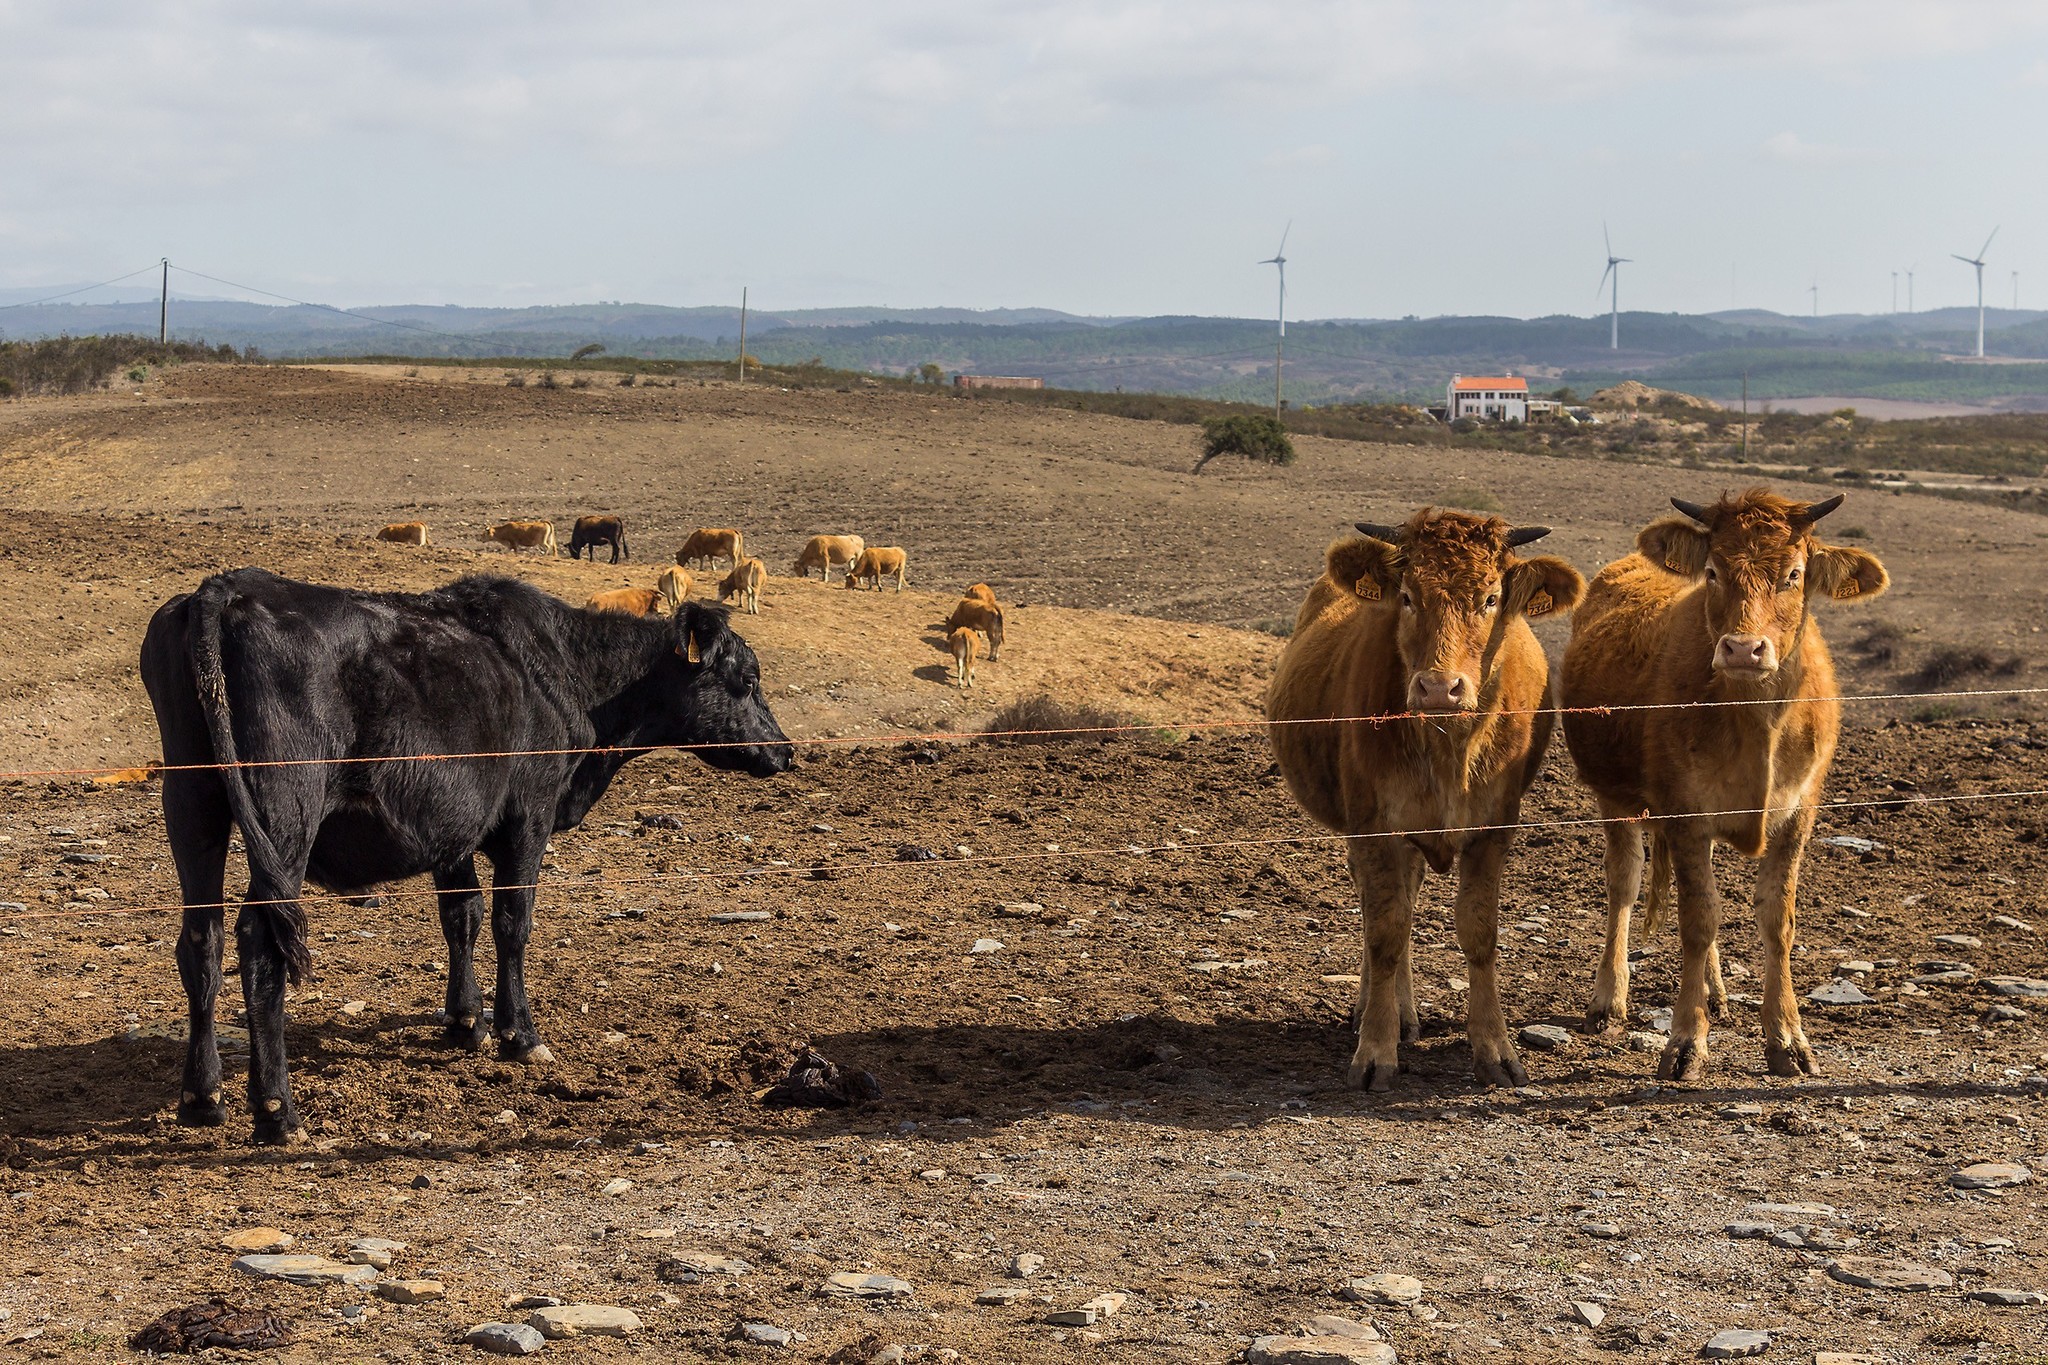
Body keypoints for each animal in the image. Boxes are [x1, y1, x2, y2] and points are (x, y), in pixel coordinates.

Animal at [138, 573, 790, 1146]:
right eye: (747, 678)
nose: (784, 750)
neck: (571, 675)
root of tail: (226, 589)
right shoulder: (528, 813)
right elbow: (510, 922)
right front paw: (517, 1033)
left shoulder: (450, 824)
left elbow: (462, 916)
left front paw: (464, 1021)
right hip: (285, 811)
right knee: (259, 941)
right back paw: (277, 1110)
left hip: (192, 803)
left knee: (202, 937)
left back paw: (202, 1097)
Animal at [1261, 507, 1581, 1096]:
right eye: (1408, 596)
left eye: (1491, 598)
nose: (1438, 688)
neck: (1446, 746)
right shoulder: (1375, 827)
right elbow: (1385, 933)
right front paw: (1374, 1051)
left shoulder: (1492, 830)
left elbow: (1479, 932)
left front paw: (1496, 1051)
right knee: (1384, 913)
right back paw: (1384, 1011)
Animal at [1564, 485, 1884, 1080]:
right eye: (1712, 571)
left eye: (1794, 574)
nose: (1742, 649)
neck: (1756, 719)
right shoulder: (1685, 812)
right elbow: (1698, 918)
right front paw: (1686, 1042)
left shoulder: (1799, 812)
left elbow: (1776, 919)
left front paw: (1787, 1038)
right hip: (1614, 798)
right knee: (1625, 880)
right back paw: (1608, 1000)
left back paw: (1715, 993)